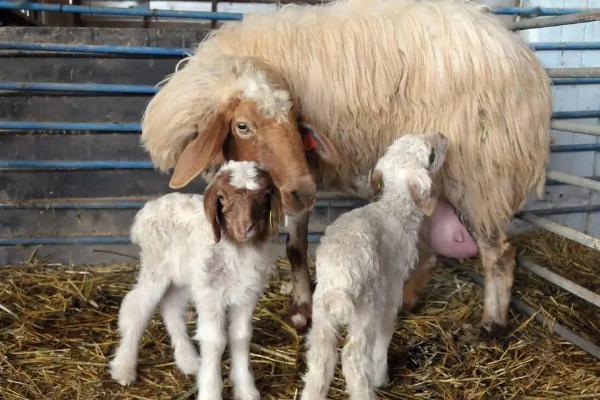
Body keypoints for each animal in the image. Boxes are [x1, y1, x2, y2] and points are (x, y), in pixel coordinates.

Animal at [109, 161, 282, 400]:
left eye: (265, 195)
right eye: (222, 198)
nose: (245, 227)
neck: (237, 249)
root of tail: (148, 209)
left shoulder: (247, 294)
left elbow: (241, 336)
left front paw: (246, 390)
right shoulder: (210, 293)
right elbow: (215, 341)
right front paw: (210, 391)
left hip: (183, 276)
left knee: (171, 308)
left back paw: (189, 361)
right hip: (156, 267)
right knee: (136, 308)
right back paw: (123, 369)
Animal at [142, 0, 552, 336]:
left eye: (295, 119)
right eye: (242, 126)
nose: (304, 189)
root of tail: (526, 62)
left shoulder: (298, 173)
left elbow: (295, 247)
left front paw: (301, 309)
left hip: (482, 175)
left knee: (499, 254)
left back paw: (492, 323)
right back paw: (409, 298)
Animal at [302, 134, 448, 400]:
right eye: (432, 154)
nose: (444, 137)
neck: (394, 209)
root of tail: (339, 276)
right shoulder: (391, 288)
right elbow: (385, 334)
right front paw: (382, 377)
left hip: (321, 307)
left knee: (321, 358)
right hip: (365, 307)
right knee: (353, 358)